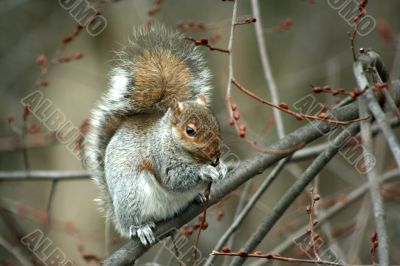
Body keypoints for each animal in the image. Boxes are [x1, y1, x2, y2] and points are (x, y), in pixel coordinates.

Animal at [83, 25, 228, 245]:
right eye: (190, 131)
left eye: (215, 122)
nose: (215, 153)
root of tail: (116, 213)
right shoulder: (160, 157)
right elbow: (174, 178)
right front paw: (206, 171)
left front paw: (223, 167)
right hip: (131, 194)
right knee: (133, 221)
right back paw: (140, 228)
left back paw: (197, 197)